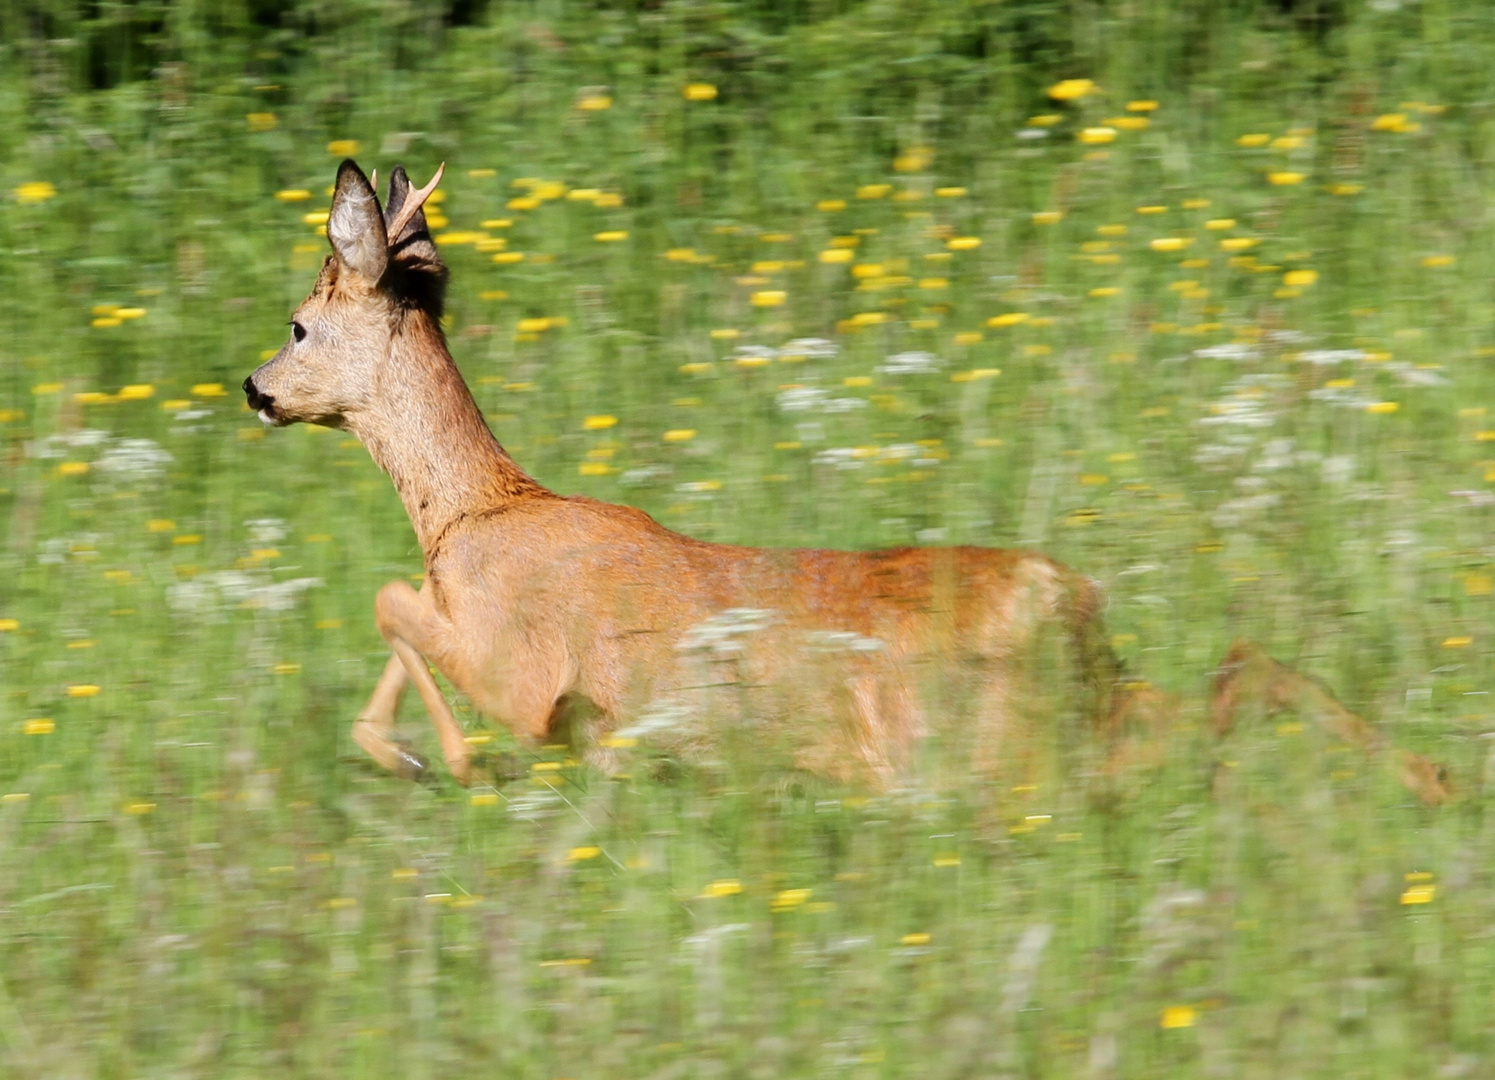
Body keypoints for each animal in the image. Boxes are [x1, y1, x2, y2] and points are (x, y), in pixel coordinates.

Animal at [242, 157, 1447, 801]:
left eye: (298, 324)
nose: (252, 386)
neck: (472, 511)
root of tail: (1070, 606)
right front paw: (404, 750)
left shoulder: (518, 665)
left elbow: (390, 602)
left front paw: (426, 752)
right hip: (1078, 716)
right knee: (1240, 672)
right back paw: (1430, 781)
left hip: (993, 749)